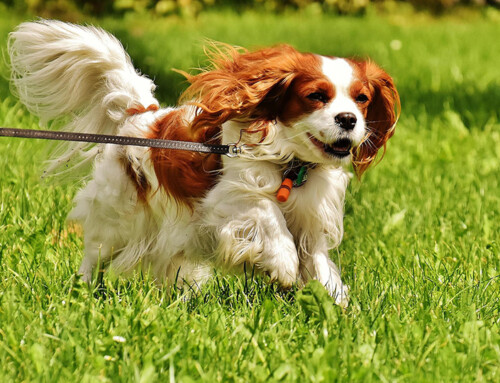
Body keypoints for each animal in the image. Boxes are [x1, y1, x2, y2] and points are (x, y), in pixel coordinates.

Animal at [8, 19, 398, 306]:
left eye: (362, 99)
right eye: (316, 96)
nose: (348, 119)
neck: (290, 162)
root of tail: (140, 114)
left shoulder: (312, 221)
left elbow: (317, 263)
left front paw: (336, 302)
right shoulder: (225, 201)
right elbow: (268, 213)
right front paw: (284, 263)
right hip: (117, 218)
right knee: (95, 254)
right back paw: (83, 290)